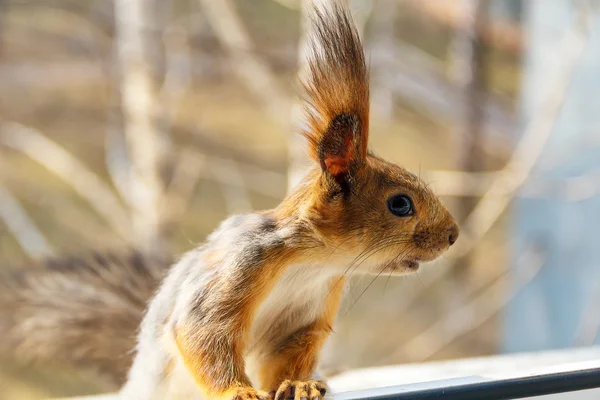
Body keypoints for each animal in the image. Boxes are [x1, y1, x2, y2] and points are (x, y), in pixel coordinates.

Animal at [0, 1, 460, 398]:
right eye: (400, 204)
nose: (454, 235)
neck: (312, 262)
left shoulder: (307, 315)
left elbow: (287, 357)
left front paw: (300, 384)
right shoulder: (240, 268)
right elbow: (205, 334)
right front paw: (237, 391)